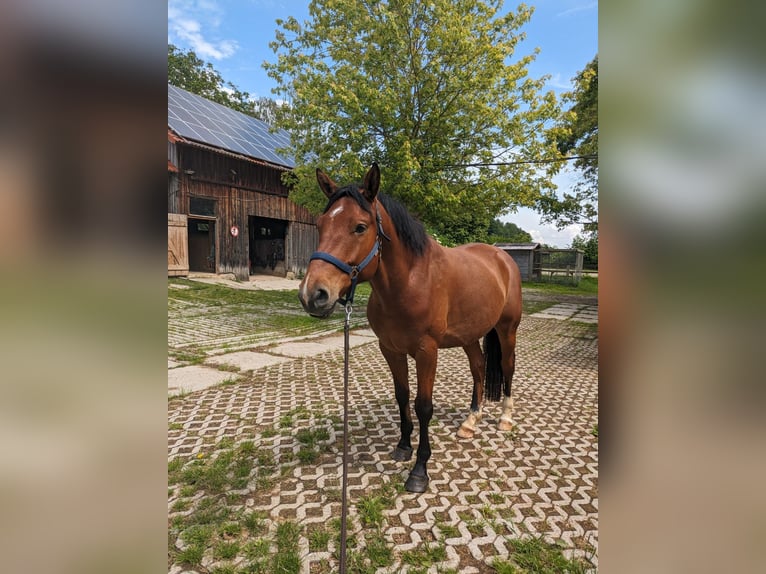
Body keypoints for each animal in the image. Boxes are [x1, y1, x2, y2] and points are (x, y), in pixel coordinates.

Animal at [298, 163, 520, 496]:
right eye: (321, 224)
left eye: (360, 227)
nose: (313, 295)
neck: (410, 282)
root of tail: (502, 257)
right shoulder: (390, 349)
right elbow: (402, 395)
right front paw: (403, 446)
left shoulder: (427, 352)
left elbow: (423, 406)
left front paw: (419, 470)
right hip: (469, 336)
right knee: (479, 368)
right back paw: (471, 421)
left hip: (507, 331)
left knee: (507, 368)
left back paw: (505, 418)